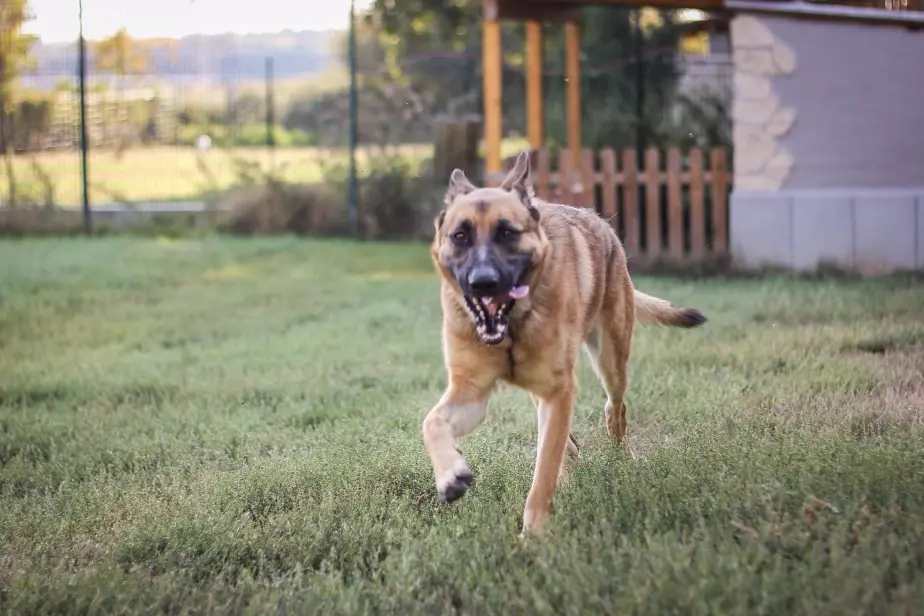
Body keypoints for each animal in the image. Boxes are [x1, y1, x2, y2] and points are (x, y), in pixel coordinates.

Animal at [422, 152, 704, 536]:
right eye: (460, 235)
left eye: (507, 233)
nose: (483, 283)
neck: (513, 323)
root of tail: (602, 223)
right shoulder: (472, 392)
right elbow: (431, 422)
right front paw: (450, 475)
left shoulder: (559, 389)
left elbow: (543, 475)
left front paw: (533, 535)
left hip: (611, 359)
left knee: (614, 409)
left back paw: (621, 458)